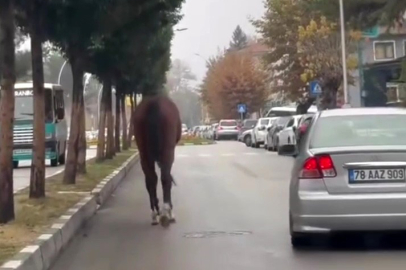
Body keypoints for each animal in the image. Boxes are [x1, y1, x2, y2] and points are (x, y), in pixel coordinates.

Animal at [133, 95, 181, 228]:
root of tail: (153, 104)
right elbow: (168, 178)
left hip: (144, 155)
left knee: (150, 180)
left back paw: (155, 214)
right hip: (167, 152)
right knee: (165, 178)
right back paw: (166, 213)